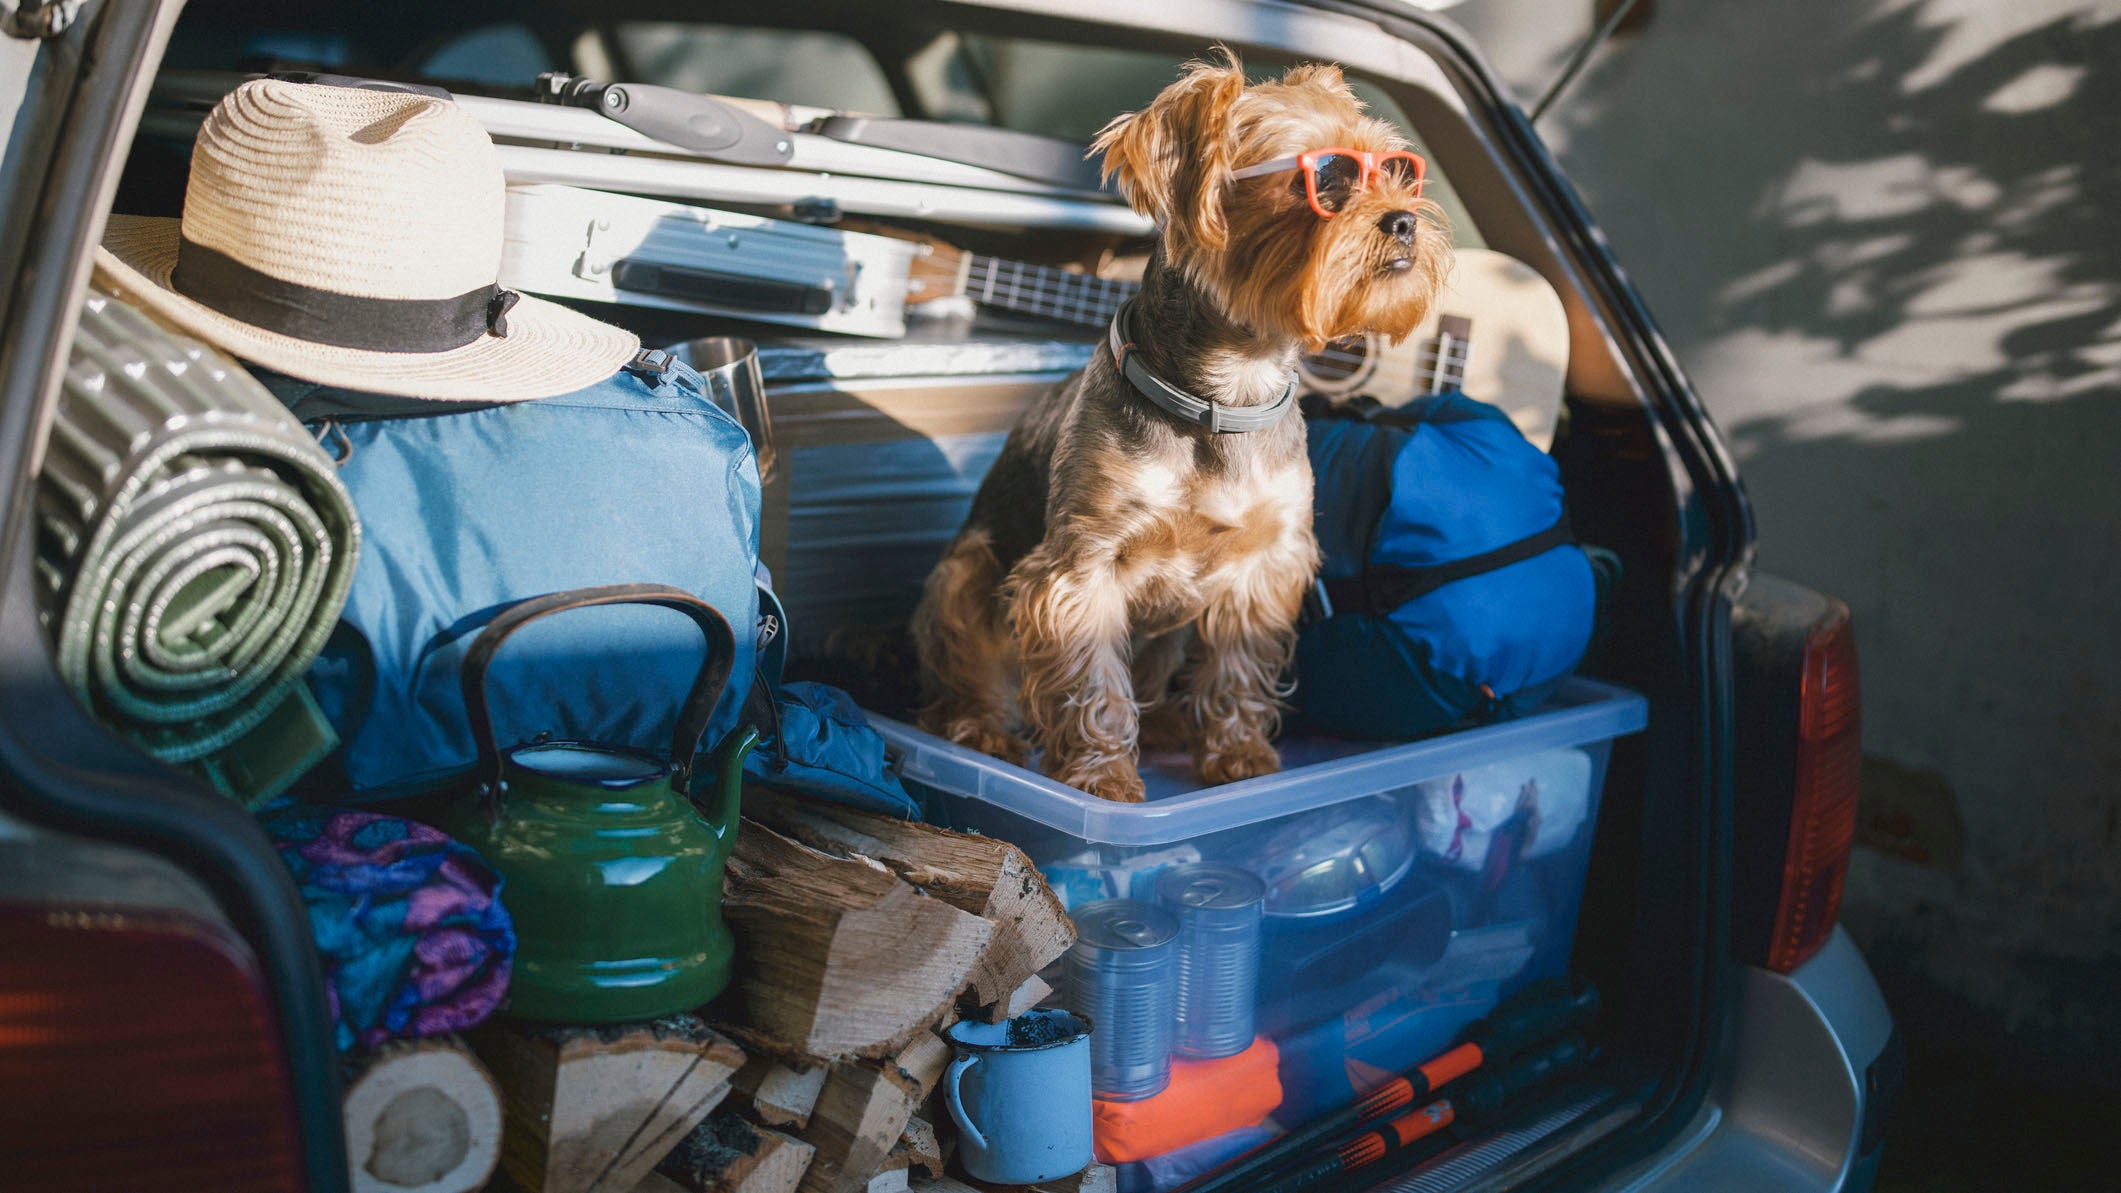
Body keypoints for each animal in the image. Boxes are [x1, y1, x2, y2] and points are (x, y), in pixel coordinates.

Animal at [912, 53, 1442, 798]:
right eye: (1325, 177)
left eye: (1398, 170)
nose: (1403, 221)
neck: (1228, 392)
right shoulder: (1082, 566)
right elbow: (1092, 681)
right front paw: (1100, 776)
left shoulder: (1264, 562)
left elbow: (1237, 665)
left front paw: (1238, 752)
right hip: (964, 572)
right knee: (966, 676)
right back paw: (982, 726)